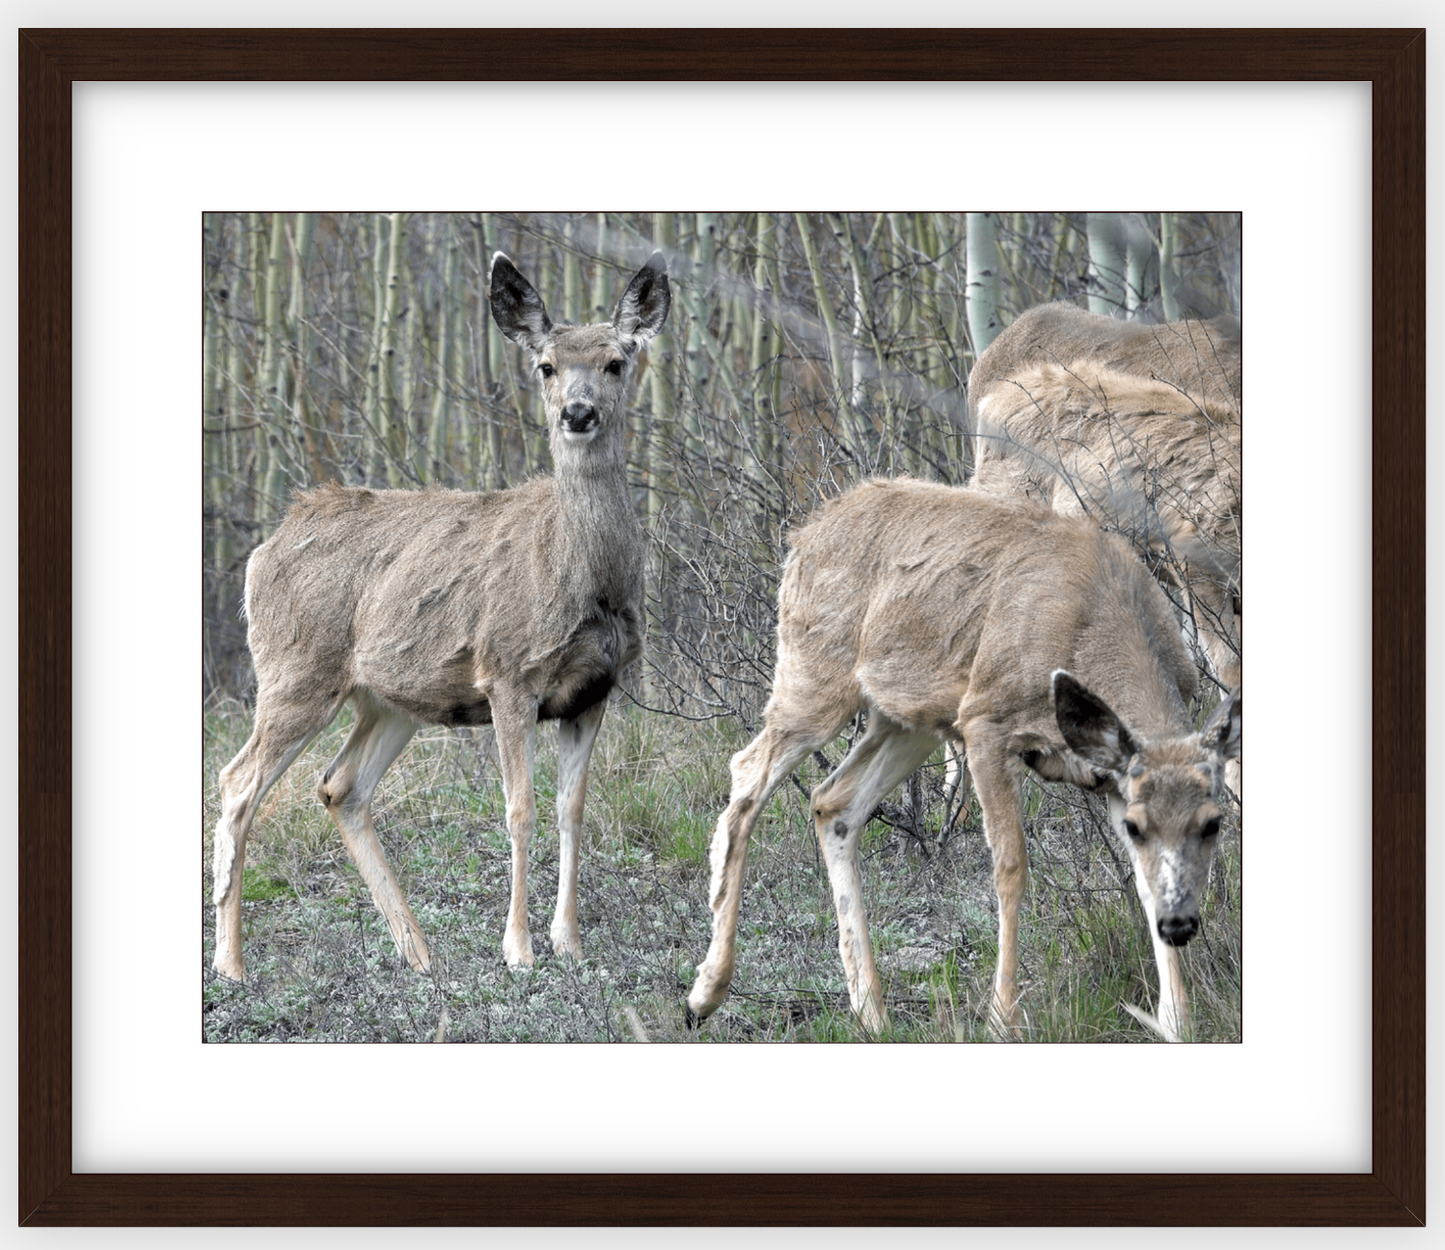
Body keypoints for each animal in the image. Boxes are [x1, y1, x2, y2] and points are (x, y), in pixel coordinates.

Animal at [212, 248, 670, 982]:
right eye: (545, 365)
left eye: (615, 362)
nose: (577, 413)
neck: (581, 578)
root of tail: (262, 552)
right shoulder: (510, 672)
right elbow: (520, 809)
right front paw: (519, 950)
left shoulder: (596, 687)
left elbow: (572, 809)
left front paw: (569, 942)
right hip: (295, 671)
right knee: (237, 782)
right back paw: (231, 962)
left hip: (388, 698)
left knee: (340, 786)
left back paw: (419, 953)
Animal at [687, 479, 1242, 1046]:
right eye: (1137, 825)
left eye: (1213, 823)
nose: (1182, 927)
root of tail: (803, 534)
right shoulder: (986, 722)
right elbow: (1011, 866)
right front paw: (1002, 1018)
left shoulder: (1109, 775)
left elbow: (1147, 884)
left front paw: (1177, 1021)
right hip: (816, 674)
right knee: (746, 775)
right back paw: (705, 993)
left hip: (907, 717)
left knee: (832, 801)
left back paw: (871, 1013)